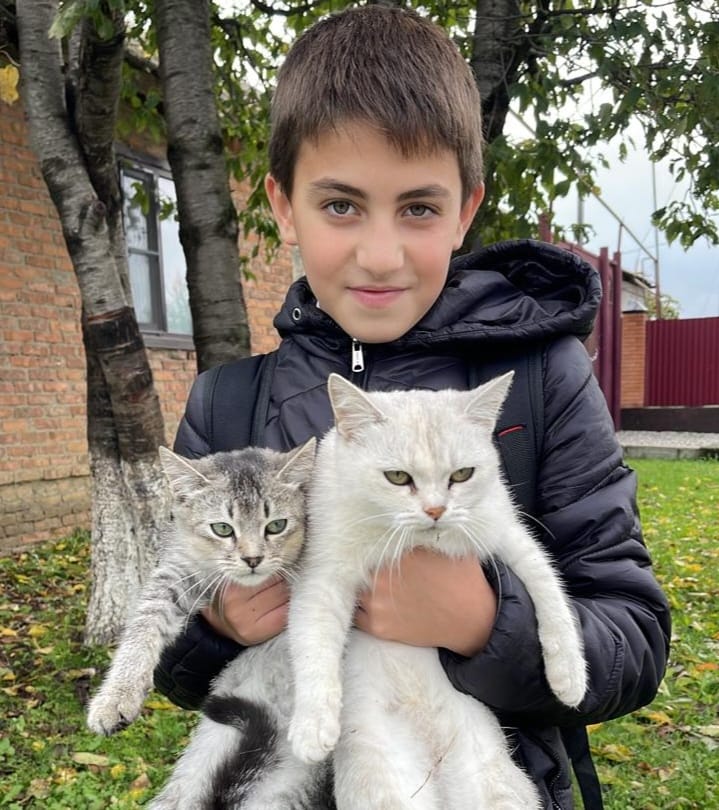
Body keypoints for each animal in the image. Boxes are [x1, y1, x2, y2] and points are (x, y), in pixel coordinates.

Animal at [87, 440, 332, 810]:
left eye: (276, 525)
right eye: (223, 529)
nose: (253, 558)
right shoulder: (175, 573)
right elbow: (144, 625)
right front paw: (115, 699)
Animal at [287, 372, 588, 810]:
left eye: (462, 474)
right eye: (397, 477)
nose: (435, 511)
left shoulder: (507, 533)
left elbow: (549, 588)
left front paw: (570, 676)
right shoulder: (323, 572)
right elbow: (312, 641)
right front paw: (312, 727)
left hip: (496, 786)